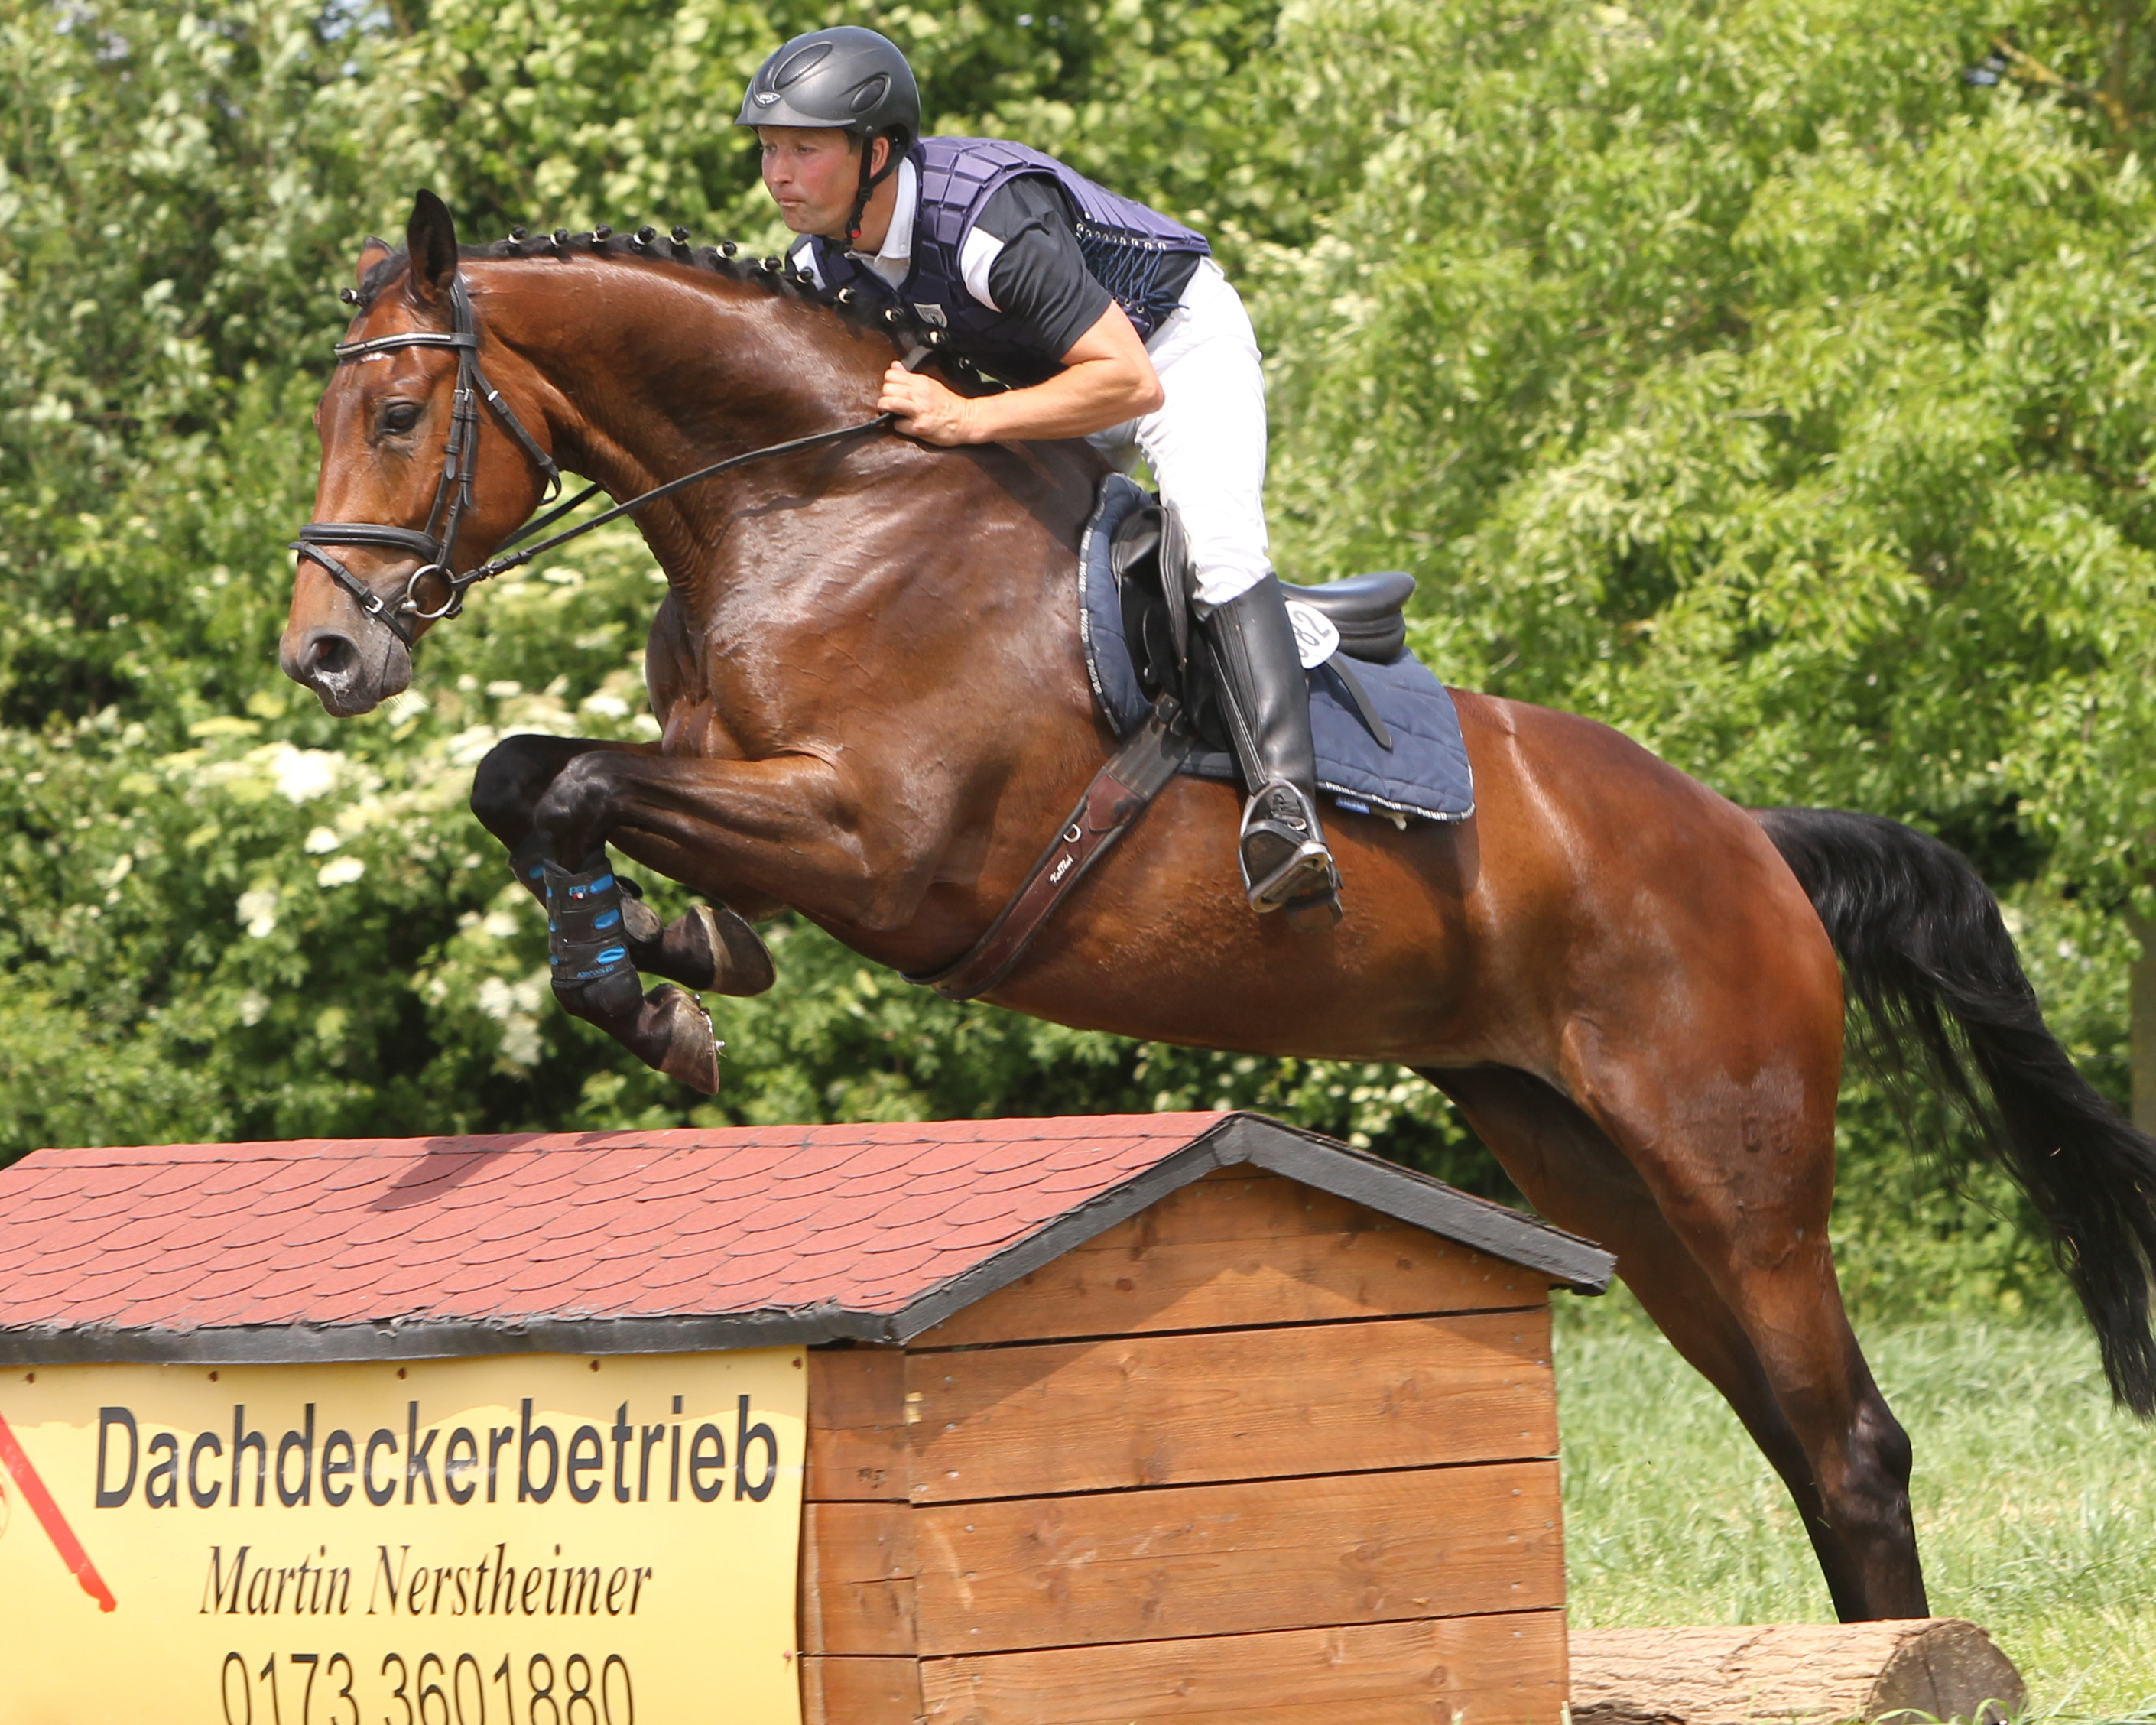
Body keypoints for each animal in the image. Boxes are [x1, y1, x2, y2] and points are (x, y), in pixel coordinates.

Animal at [282, 195, 2156, 1621]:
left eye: (399, 419)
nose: (325, 654)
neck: (814, 511)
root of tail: (1750, 842)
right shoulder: (750, 794)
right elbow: (535, 779)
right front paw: (662, 968)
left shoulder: (884, 849)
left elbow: (557, 781)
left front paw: (645, 990)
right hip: (1586, 1161)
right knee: (1795, 1436)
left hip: (1733, 1165)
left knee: (1850, 1441)